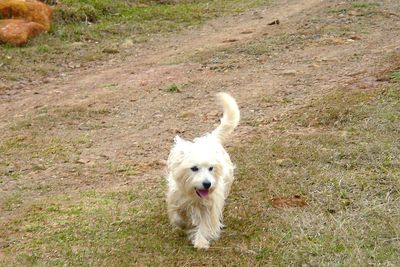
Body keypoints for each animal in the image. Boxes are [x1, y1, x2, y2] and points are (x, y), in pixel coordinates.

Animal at [166, 92, 241, 249]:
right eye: (194, 168)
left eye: (211, 168)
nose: (207, 184)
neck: (194, 196)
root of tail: (211, 139)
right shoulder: (176, 199)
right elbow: (177, 216)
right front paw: (184, 224)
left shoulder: (211, 205)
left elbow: (206, 224)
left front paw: (200, 241)